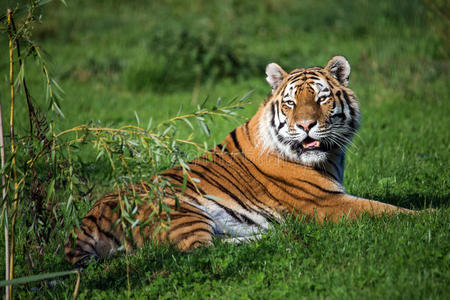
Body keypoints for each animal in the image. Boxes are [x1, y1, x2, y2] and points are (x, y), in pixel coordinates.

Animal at [65, 55, 414, 264]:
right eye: (290, 103)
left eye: (322, 98)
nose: (305, 125)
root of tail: (85, 221)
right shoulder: (326, 202)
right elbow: (389, 211)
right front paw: (426, 218)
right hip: (183, 212)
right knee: (199, 251)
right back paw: (277, 238)